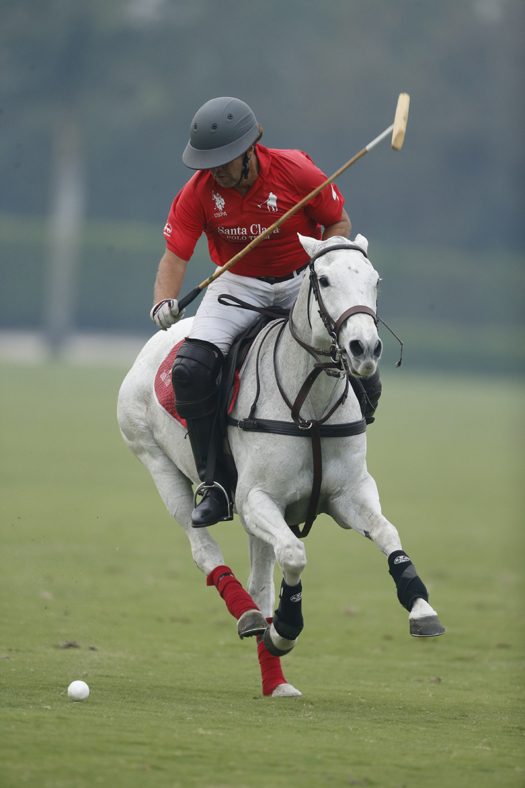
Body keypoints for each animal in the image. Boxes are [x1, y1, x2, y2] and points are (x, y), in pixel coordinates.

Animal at [117, 232, 442, 696]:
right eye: (323, 280)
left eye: (375, 280)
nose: (364, 348)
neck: (312, 405)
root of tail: (154, 345)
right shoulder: (255, 498)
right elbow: (294, 553)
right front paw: (286, 628)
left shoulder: (348, 494)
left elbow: (386, 532)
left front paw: (421, 608)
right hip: (157, 462)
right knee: (204, 549)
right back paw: (250, 616)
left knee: (259, 582)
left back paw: (275, 679)